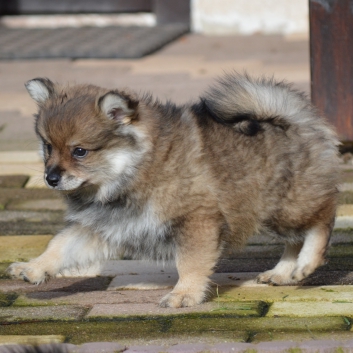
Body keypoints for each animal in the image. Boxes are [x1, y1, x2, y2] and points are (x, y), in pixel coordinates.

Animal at [6, 73, 340, 306]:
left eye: (79, 152)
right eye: (48, 147)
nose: (50, 178)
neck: (135, 170)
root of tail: (293, 120)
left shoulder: (196, 222)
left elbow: (189, 263)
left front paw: (184, 294)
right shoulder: (101, 227)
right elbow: (59, 246)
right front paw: (33, 268)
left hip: (287, 207)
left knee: (323, 219)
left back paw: (307, 262)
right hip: (274, 213)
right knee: (296, 238)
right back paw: (284, 272)